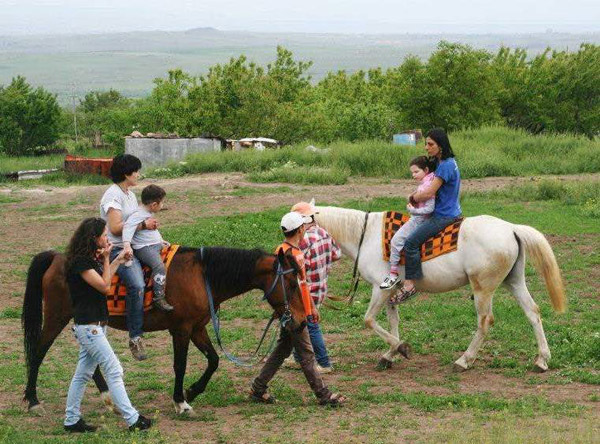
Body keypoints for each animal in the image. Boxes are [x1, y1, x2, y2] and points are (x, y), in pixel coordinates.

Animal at [22, 246, 304, 416]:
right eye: (291, 283)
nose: (301, 321)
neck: (201, 276)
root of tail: (58, 257)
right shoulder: (181, 330)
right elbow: (180, 365)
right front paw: (180, 401)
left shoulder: (197, 328)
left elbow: (213, 360)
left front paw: (192, 391)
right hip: (57, 317)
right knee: (38, 352)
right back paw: (32, 400)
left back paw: (109, 399)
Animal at [314, 206, 568, 372]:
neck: (365, 235)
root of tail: (512, 229)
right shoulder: (391, 292)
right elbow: (393, 322)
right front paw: (390, 355)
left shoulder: (381, 288)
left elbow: (369, 320)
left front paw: (401, 348)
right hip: (514, 281)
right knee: (533, 313)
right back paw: (542, 360)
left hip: (483, 288)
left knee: (485, 321)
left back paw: (464, 361)